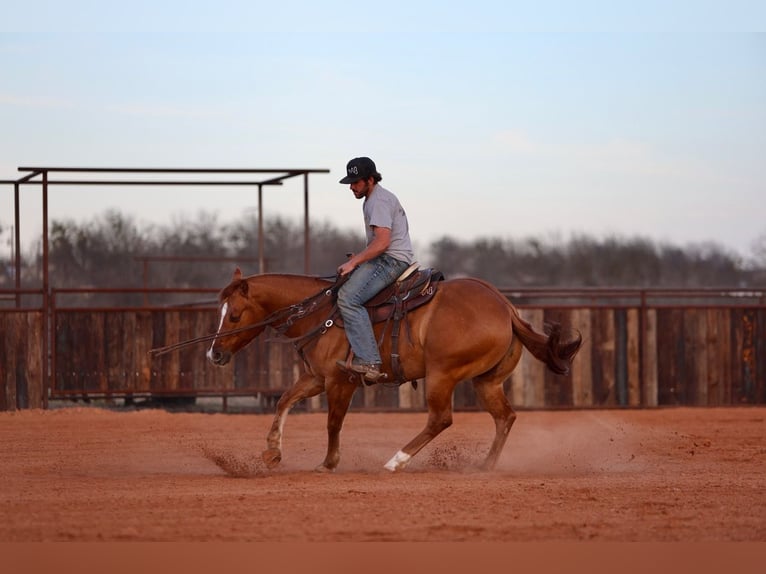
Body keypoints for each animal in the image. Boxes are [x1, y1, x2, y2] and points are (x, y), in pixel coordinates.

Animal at [206, 268, 584, 474]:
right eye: (220, 311)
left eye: (234, 315)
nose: (214, 353)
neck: (322, 313)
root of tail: (506, 307)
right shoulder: (316, 378)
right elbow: (284, 400)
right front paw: (272, 452)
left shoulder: (341, 381)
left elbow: (333, 422)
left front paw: (328, 463)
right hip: (486, 381)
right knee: (505, 417)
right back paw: (484, 466)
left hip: (442, 374)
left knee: (440, 419)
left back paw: (396, 461)